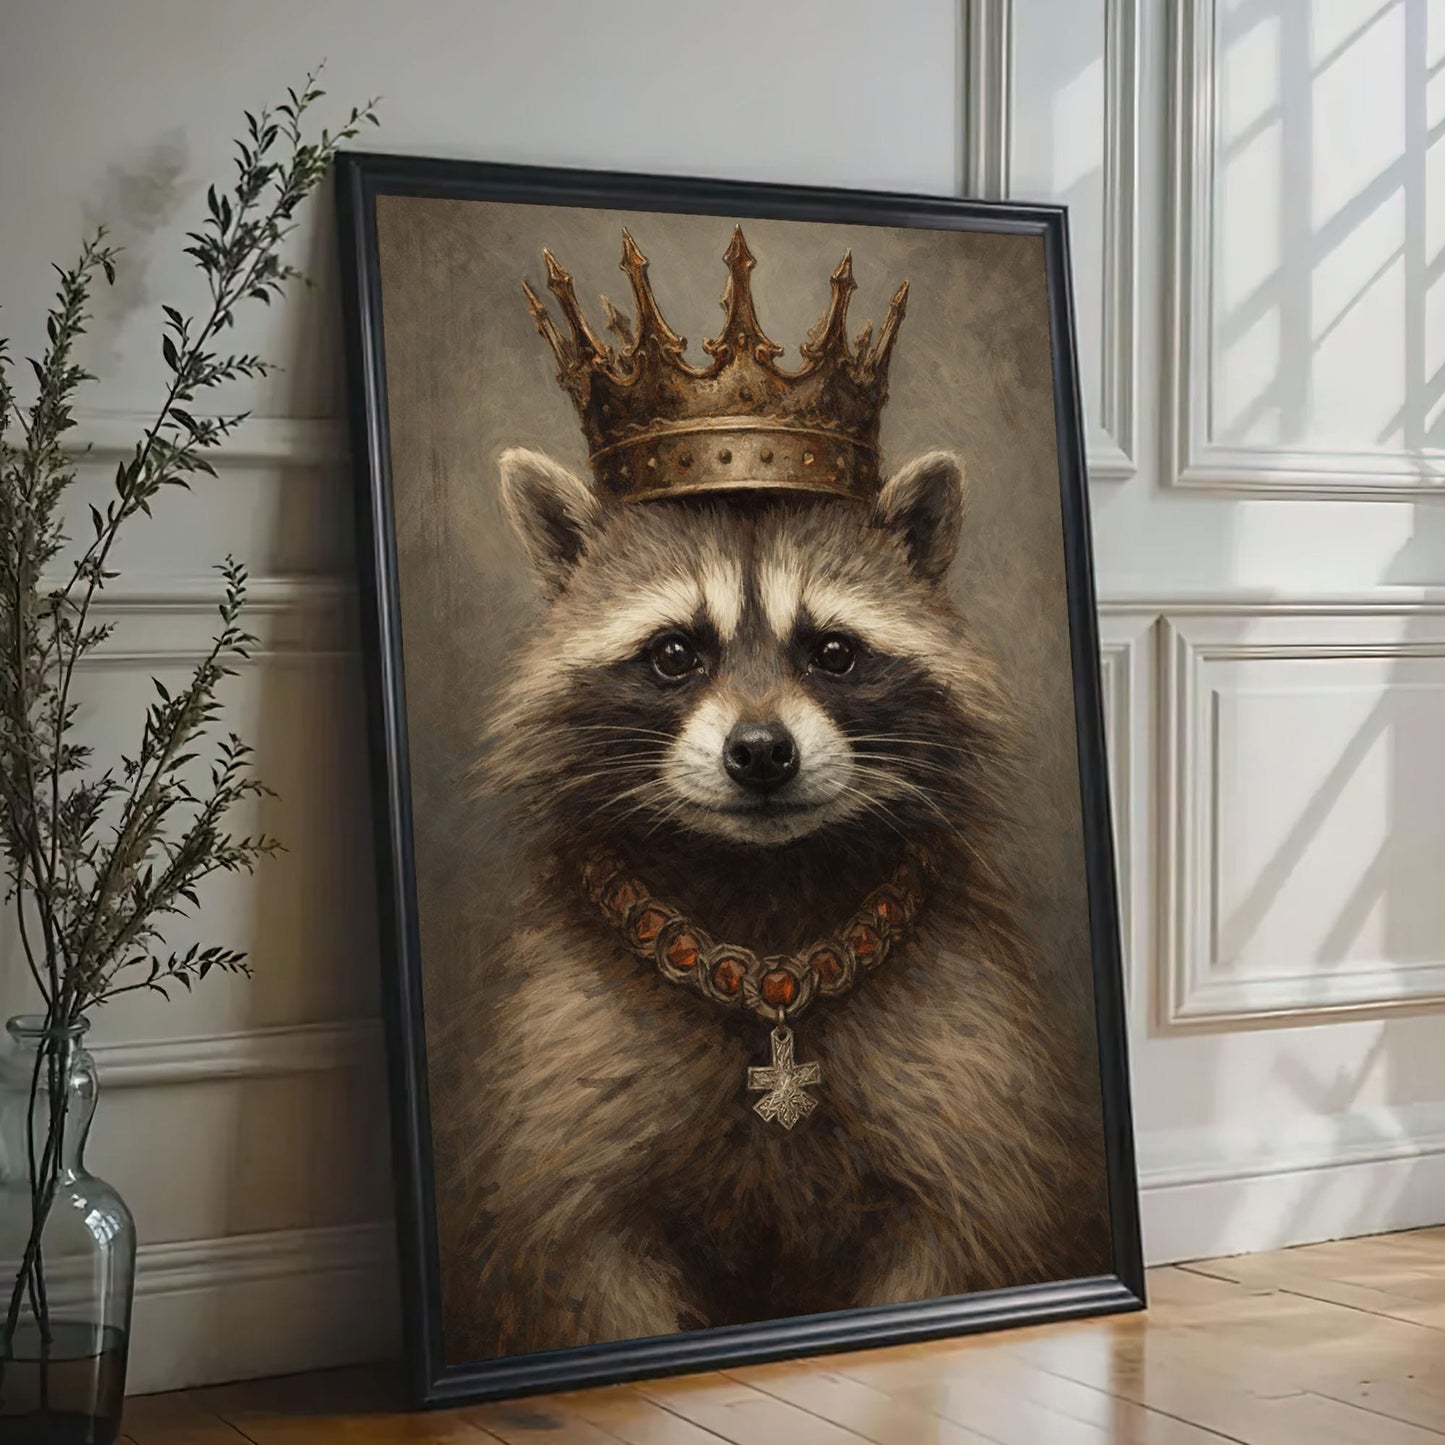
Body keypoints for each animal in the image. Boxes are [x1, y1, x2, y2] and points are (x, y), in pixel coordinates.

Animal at [432, 445, 1110, 1361]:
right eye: (674, 651)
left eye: (833, 651)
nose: (760, 752)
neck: (764, 894)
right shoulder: (564, 1088)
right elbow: (576, 1270)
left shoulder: (969, 1083)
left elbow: (969, 1232)